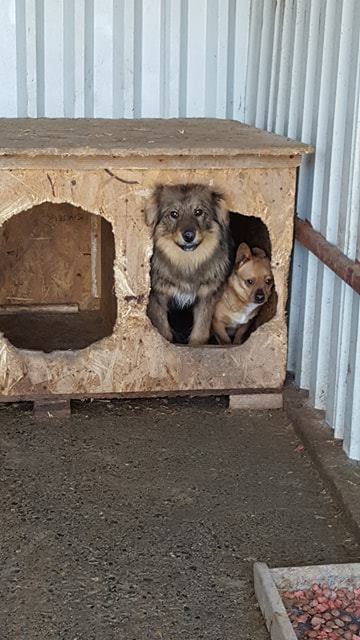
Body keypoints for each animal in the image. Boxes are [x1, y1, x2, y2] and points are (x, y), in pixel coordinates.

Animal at [146, 185, 231, 344]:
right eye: (174, 214)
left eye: (198, 212)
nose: (189, 236)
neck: (187, 262)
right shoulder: (158, 298)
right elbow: (163, 331)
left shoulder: (206, 297)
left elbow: (200, 333)